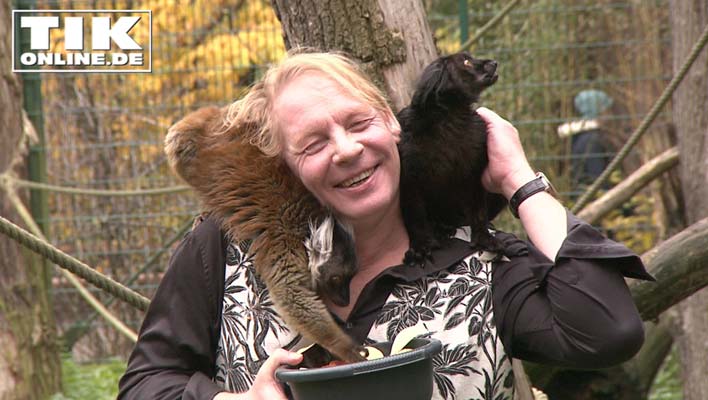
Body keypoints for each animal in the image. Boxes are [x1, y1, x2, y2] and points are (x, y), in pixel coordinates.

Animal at [164, 105, 365, 363]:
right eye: (337, 279)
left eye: (351, 278)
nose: (345, 300)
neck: (306, 227)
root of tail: (217, 116)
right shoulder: (287, 245)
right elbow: (290, 295)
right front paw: (346, 348)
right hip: (187, 141)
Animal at [397, 52, 507, 267]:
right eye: (466, 61)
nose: (494, 62)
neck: (450, 120)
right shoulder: (409, 180)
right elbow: (416, 217)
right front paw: (421, 247)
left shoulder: (474, 174)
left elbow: (478, 212)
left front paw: (484, 239)